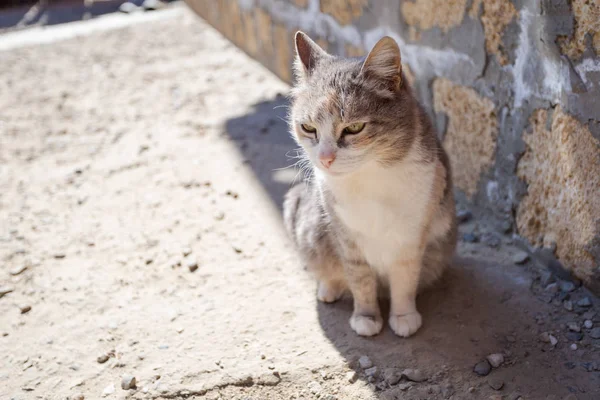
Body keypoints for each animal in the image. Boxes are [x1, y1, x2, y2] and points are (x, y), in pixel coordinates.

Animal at [284, 32, 458, 338]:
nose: (325, 158)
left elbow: (405, 277)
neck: (369, 175)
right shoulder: (345, 234)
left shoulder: (412, 232)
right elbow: (360, 278)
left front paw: (403, 317)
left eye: (354, 128)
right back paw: (328, 288)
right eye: (308, 128)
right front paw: (366, 317)